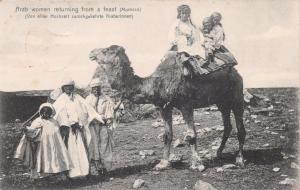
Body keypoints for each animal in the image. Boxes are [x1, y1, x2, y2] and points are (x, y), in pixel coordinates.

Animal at [89, 45, 246, 171]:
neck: (156, 83)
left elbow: (191, 135)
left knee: (240, 129)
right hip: (222, 102)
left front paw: (197, 164)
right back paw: (218, 153)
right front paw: (163, 163)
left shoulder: (186, 105)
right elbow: (167, 135)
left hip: (237, 96)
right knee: (227, 125)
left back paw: (239, 159)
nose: (91, 52)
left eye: (106, 50)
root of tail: (236, 72)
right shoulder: (164, 107)